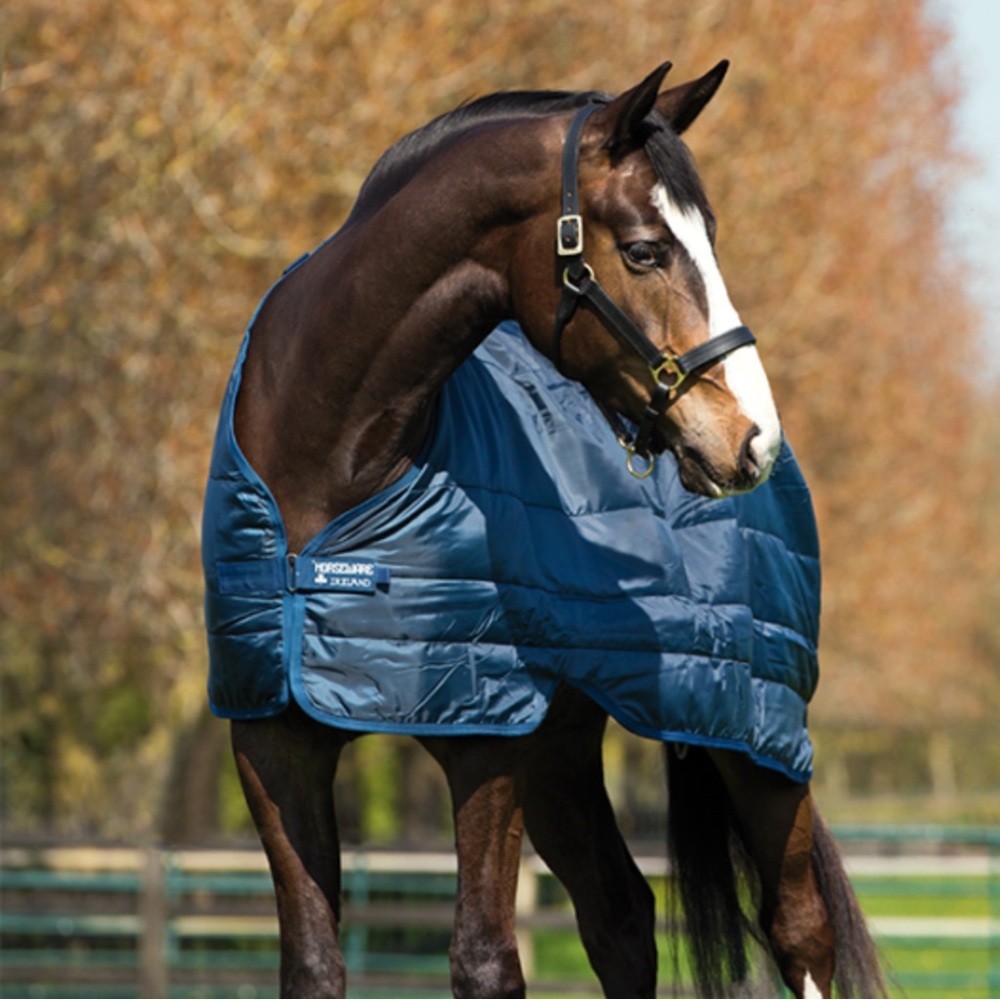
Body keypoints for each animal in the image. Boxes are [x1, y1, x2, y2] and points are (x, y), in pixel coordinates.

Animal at [202, 62, 885, 998]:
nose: (751, 437)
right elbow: (312, 962)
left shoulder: (486, 736)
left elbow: (485, 961)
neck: (330, 468)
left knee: (798, 929)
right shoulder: (272, 735)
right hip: (564, 750)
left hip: (754, 731)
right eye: (645, 249)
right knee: (621, 918)